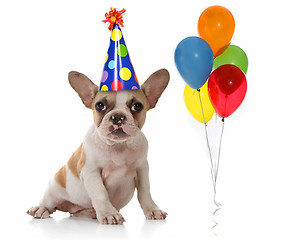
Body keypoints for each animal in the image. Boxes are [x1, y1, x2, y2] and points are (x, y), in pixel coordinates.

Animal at [26, 68, 170, 224]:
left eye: (137, 106)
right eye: (100, 105)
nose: (117, 116)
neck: (118, 146)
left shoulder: (142, 168)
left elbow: (145, 191)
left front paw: (153, 209)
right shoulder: (91, 171)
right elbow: (100, 192)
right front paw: (108, 213)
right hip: (54, 188)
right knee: (49, 202)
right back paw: (40, 209)